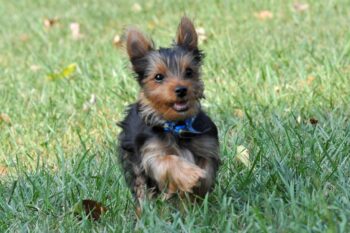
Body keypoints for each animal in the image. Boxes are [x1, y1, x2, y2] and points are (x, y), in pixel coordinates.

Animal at [119, 16, 220, 213]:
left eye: (189, 72)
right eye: (158, 77)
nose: (181, 89)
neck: (176, 125)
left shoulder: (207, 146)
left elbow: (207, 170)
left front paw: (197, 190)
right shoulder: (151, 153)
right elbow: (168, 161)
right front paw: (191, 174)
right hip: (133, 160)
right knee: (140, 185)